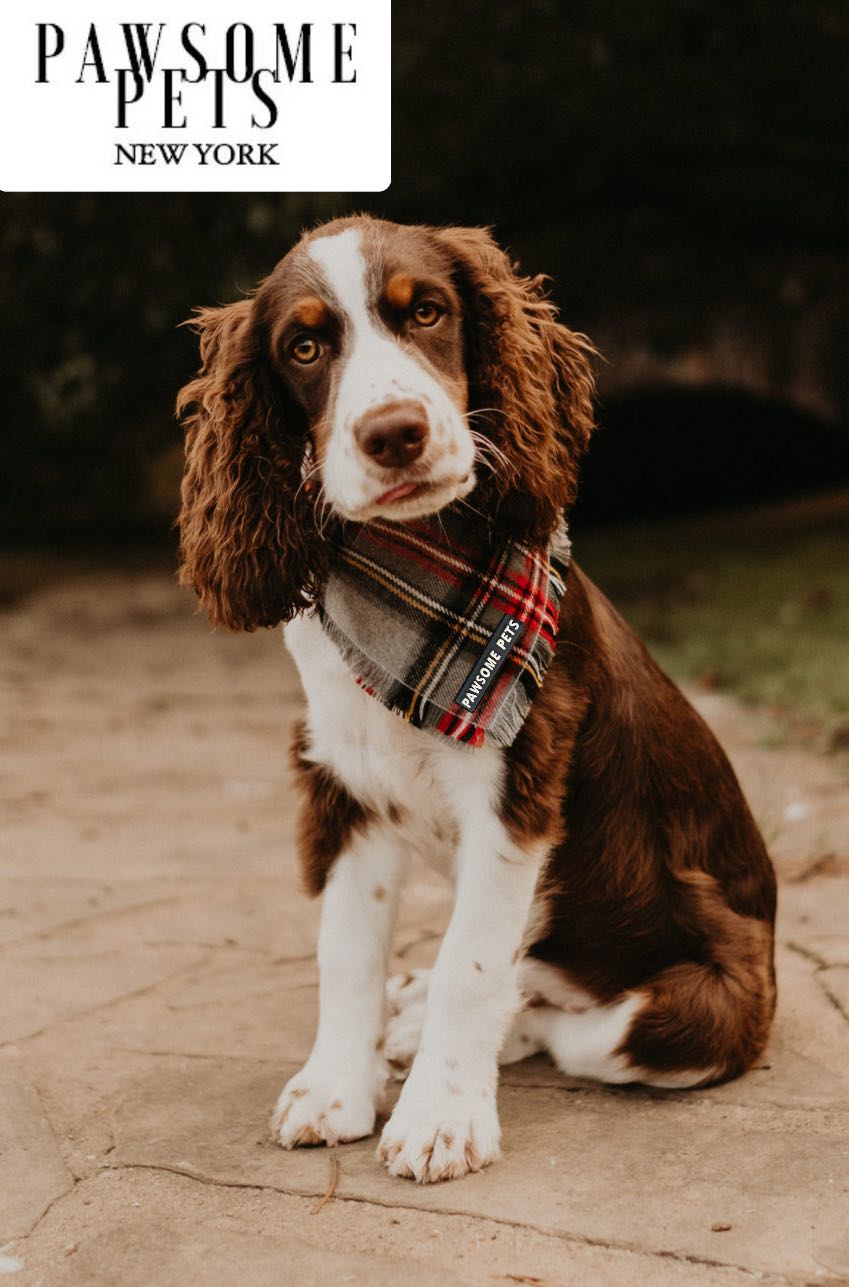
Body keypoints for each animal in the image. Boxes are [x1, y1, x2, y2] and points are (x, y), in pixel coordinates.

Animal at [177, 213, 776, 1184]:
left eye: (426, 311)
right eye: (304, 346)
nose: (393, 433)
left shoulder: (515, 788)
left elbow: (474, 962)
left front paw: (439, 1117)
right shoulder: (344, 782)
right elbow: (344, 946)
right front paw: (333, 1088)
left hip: (698, 1008)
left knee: (567, 1016)